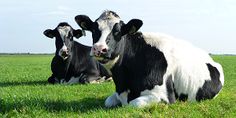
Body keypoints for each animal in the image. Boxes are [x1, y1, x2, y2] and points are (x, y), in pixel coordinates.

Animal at [74, 10, 224, 107]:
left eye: (118, 31)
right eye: (94, 30)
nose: (99, 48)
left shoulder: (164, 97)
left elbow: (133, 104)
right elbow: (108, 101)